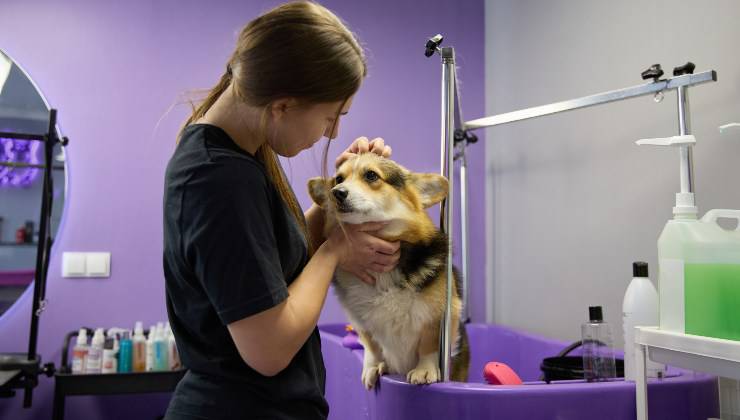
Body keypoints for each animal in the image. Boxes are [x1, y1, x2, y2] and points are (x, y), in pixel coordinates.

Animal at [310, 153, 472, 388]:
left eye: (371, 175)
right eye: (338, 179)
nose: (336, 193)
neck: (383, 274)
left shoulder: (439, 315)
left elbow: (428, 345)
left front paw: (424, 370)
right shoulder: (361, 322)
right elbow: (372, 346)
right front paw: (375, 365)